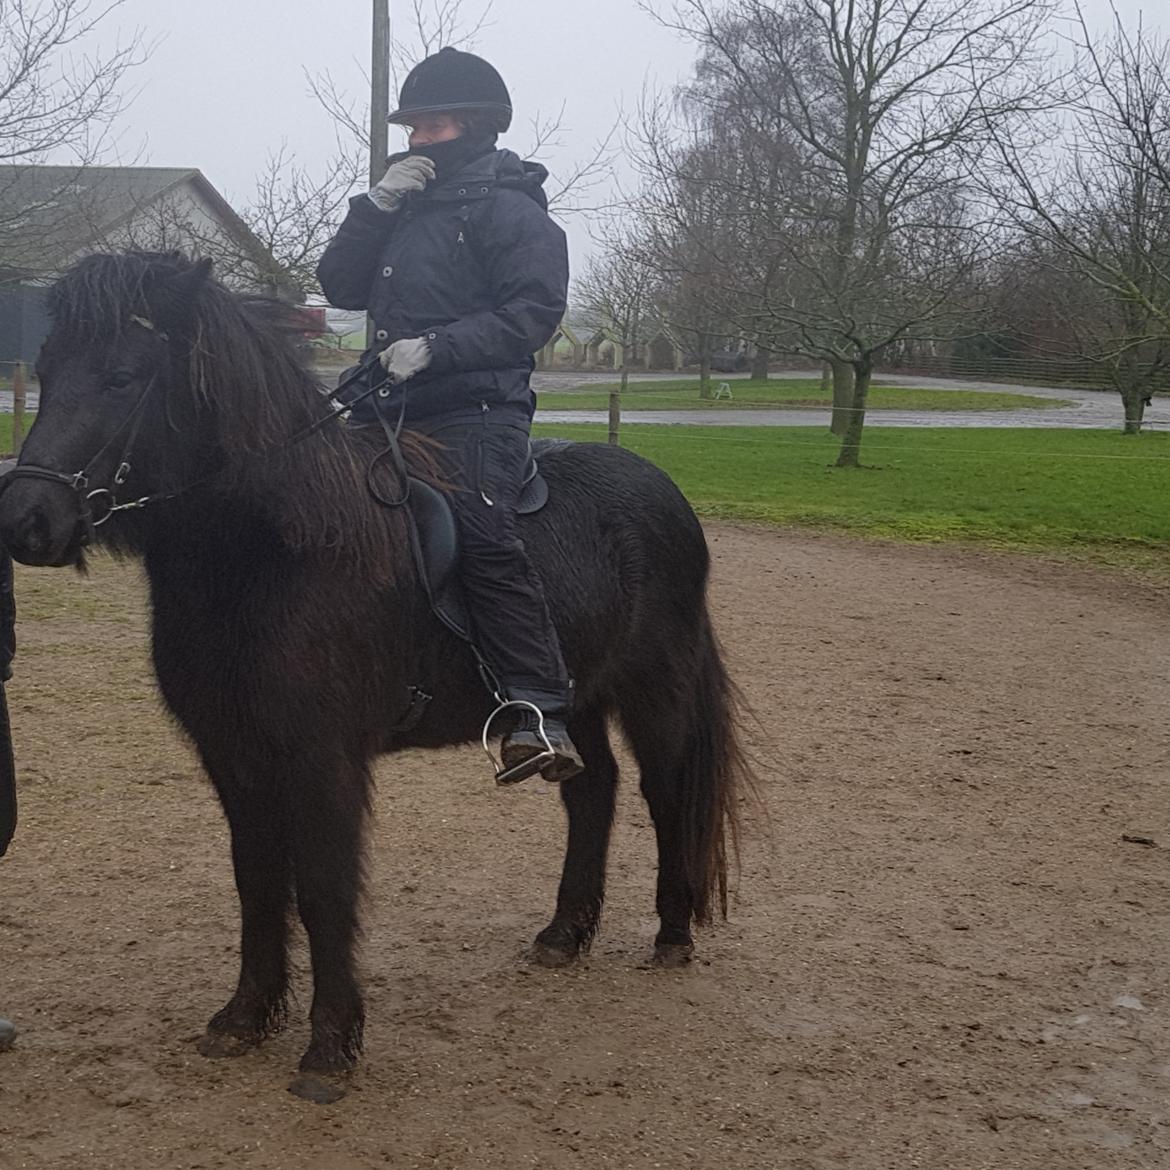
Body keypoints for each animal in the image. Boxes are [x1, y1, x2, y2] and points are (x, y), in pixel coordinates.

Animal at [0, 251, 748, 1099]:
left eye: (124, 375)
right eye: (48, 369)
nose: (26, 520)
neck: (281, 551)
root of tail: (659, 488)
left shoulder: (322, 759)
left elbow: (325, 890)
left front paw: (330, 1048)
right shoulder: (235, 756)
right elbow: (257, 881)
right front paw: (244, 1017)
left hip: (657, 691)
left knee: (666, 792)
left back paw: (673, 932)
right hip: (570, 698)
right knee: (593, 793)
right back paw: (564, 934)